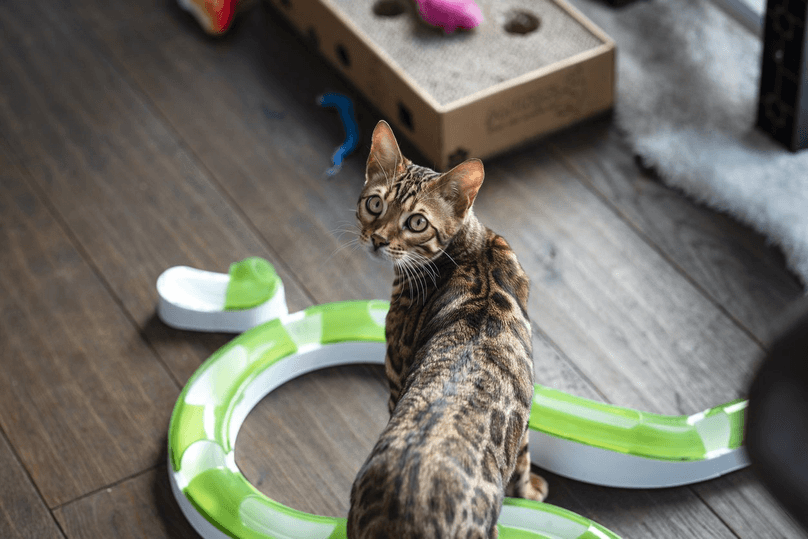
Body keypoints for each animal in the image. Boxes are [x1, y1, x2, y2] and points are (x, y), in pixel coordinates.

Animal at [348, 120, 548, 536]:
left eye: (417, 222)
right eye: (375, 203)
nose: (377, 239)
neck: (475, 249)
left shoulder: (396, 374)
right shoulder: (523, 417)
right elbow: (524, 457)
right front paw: (531, 491)